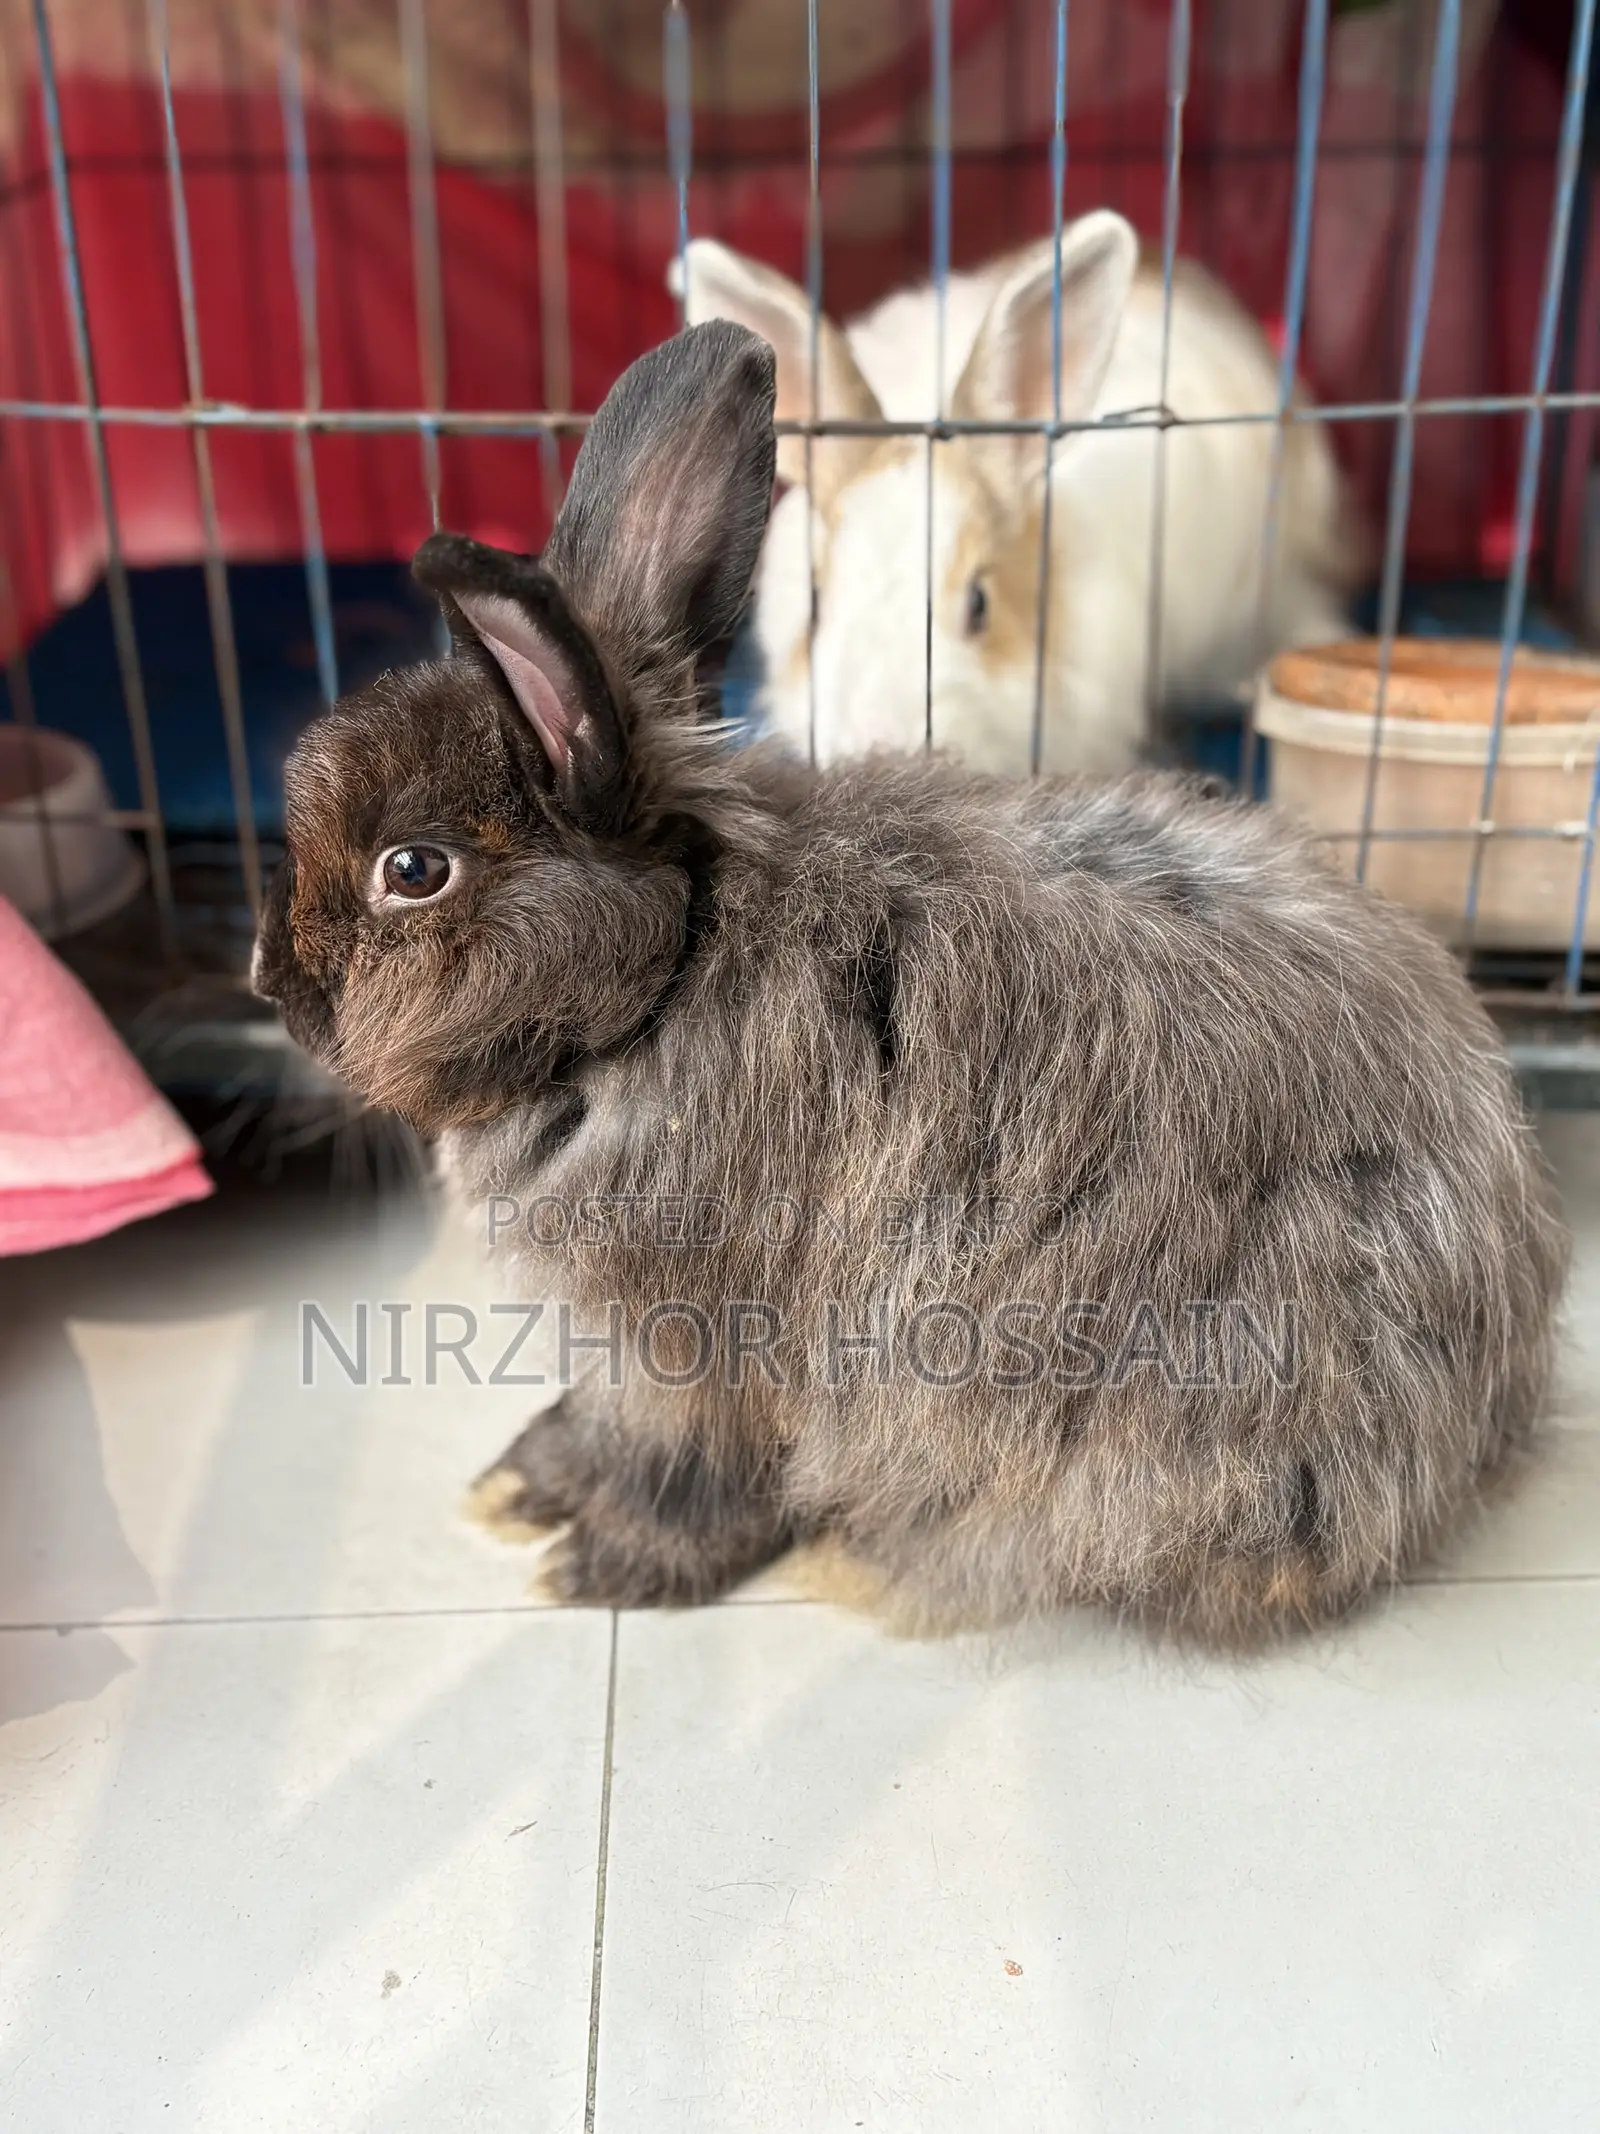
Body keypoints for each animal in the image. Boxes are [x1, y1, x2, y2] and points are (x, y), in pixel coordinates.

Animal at [252, 317, 1564, 1649]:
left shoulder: (702, 1343)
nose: (269, 979)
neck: (664, 977)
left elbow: (692, 1461)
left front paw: (612, 1560)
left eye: (413, 870)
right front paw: (528, 1482)